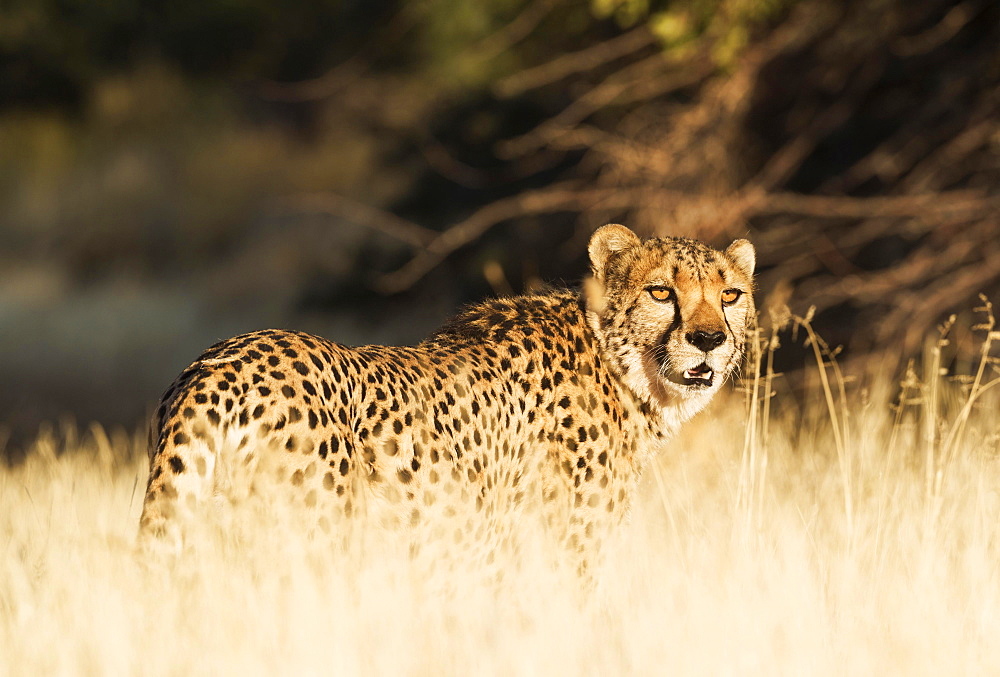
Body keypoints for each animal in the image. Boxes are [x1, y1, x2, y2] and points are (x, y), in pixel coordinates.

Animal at [137, 226, 752, 572]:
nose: (708, 339)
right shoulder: (558, 555)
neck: (623, 368)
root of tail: (226, 358)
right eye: (660, 292)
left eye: (729, 295)